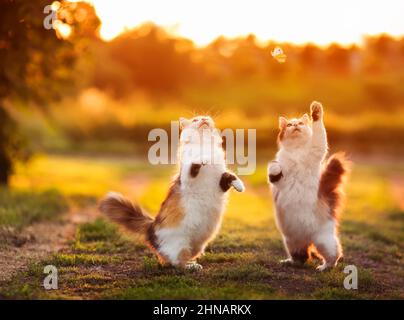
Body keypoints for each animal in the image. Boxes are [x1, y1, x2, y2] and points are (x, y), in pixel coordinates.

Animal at [99, 115, 245, 270]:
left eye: (206, 118)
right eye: (196, 119)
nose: (204, 118)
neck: (204, 145)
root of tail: (151, 226)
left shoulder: (220, 183)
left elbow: (230, 175)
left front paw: (240, 186)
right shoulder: (188, 177)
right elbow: (194, 164)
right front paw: (203, 158)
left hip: (198, 245)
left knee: (178, 259)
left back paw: (193, 263)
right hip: (179, 244)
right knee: (176, 262)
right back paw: (191, 267)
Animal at [266, 101, 348, 272]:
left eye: (301, 123)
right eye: (290, 124)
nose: (296, 125)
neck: (297, 151)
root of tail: (307, 239)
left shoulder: (317, 148)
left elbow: (318, 128)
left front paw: (316, 111)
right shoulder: (280, 181)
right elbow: (274, 169)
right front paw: (275, 167)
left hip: (324, 242)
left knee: (334, 257)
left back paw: (323, 268)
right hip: (291, 242)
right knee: (302, 257)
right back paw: (289, 262)